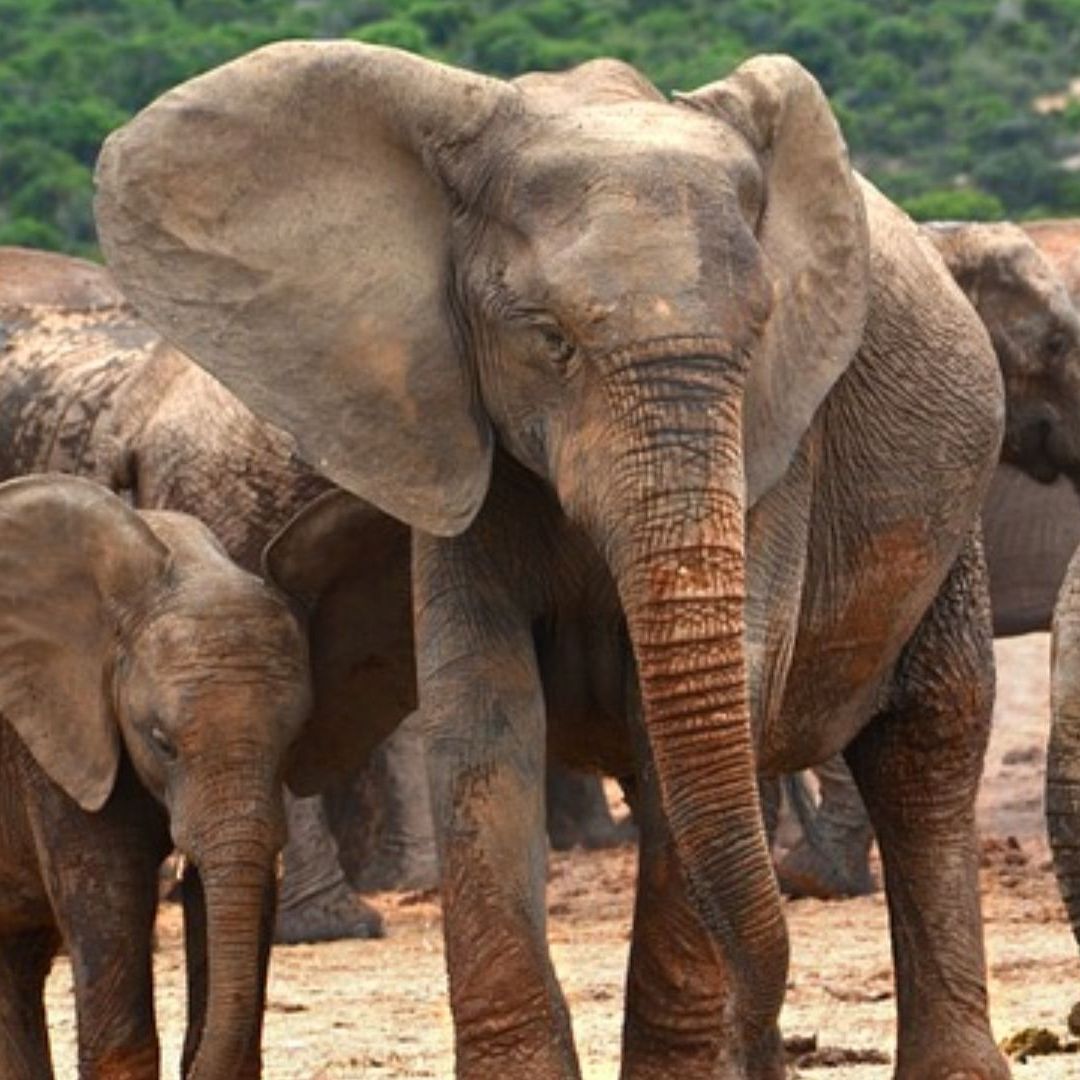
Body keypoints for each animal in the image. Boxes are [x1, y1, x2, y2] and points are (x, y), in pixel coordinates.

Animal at [97, 43, 1008, 1079]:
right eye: (551, 340)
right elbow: (482, 717)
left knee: (929, 746)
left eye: (758, 335)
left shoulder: (784, 438)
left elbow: (701, 715)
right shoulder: (447, 422)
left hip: (955, 524)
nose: (776, 1044)